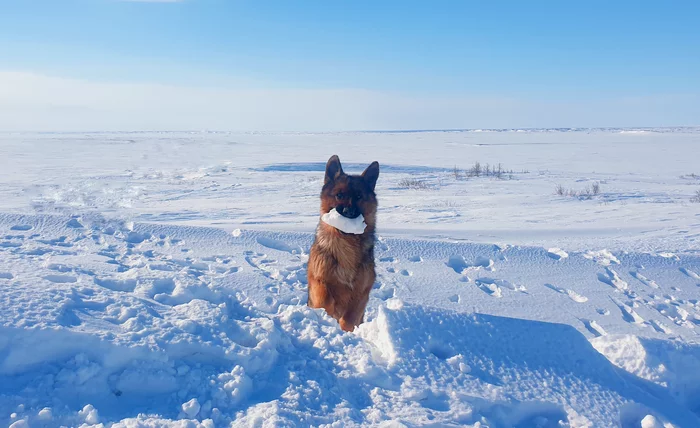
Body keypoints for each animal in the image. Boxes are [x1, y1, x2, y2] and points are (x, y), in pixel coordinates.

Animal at [308, 155, 380, 332]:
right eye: (339, 195)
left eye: (359, 197)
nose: (349, 212)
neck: (346, 244)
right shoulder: (319, 279)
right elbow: (325, 300)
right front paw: (328, 314)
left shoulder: (361, 292)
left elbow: (349, 318)